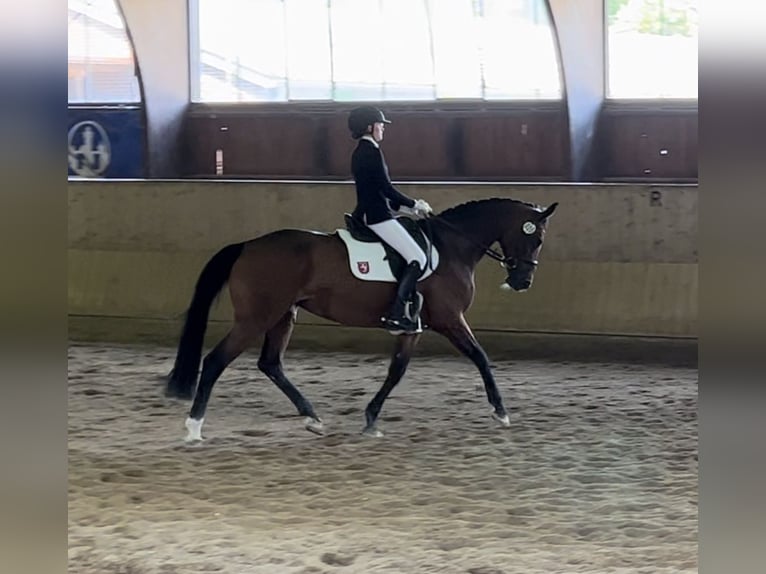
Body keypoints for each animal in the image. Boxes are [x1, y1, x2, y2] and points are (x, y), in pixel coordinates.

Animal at [166, 198, 560, 440]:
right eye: (537, 238)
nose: (522, 282)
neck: (452, 248)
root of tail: (247, 245)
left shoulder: (413, 327)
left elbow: (396, 370)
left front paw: (371, 418)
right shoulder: (449, 319)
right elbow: (480, 357)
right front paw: (501, 412)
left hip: (282, 316)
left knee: (271, 364)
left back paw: (311, 417)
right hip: (257, 318)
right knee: (216, 361)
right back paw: (194, 427)